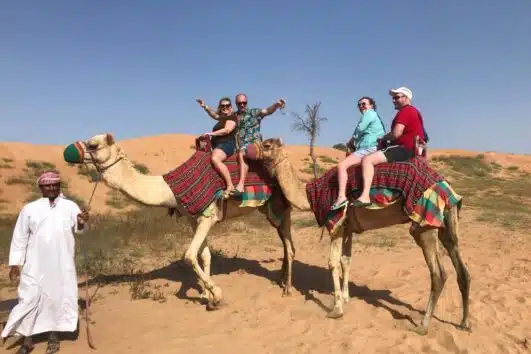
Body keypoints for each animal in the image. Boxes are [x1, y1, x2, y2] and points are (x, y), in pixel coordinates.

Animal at [64, 134, 298, 312]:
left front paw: (216, 295)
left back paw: (287, 289)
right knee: (285, 242)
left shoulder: (208, 216)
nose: (69, 151)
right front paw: (206, 294)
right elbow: (204, 255)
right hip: (268, 209)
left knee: (289, 246)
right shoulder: (193, 219)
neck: (171, 190)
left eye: (93, 144)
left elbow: (189, 255)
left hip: (281, 205)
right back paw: (280, 280)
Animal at [258, 138, 470, 334]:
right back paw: (464, 324)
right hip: (446, 225)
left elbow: (333, 263)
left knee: (438, 274)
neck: (312, 196)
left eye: (267, 145)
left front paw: (336, 309)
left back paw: (422, 326)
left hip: (424, 224)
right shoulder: (348, 227)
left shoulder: (336, 222)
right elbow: (346, 260)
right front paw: (346, 298)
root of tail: (447, 187)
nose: (253, 149)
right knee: (462, 270)